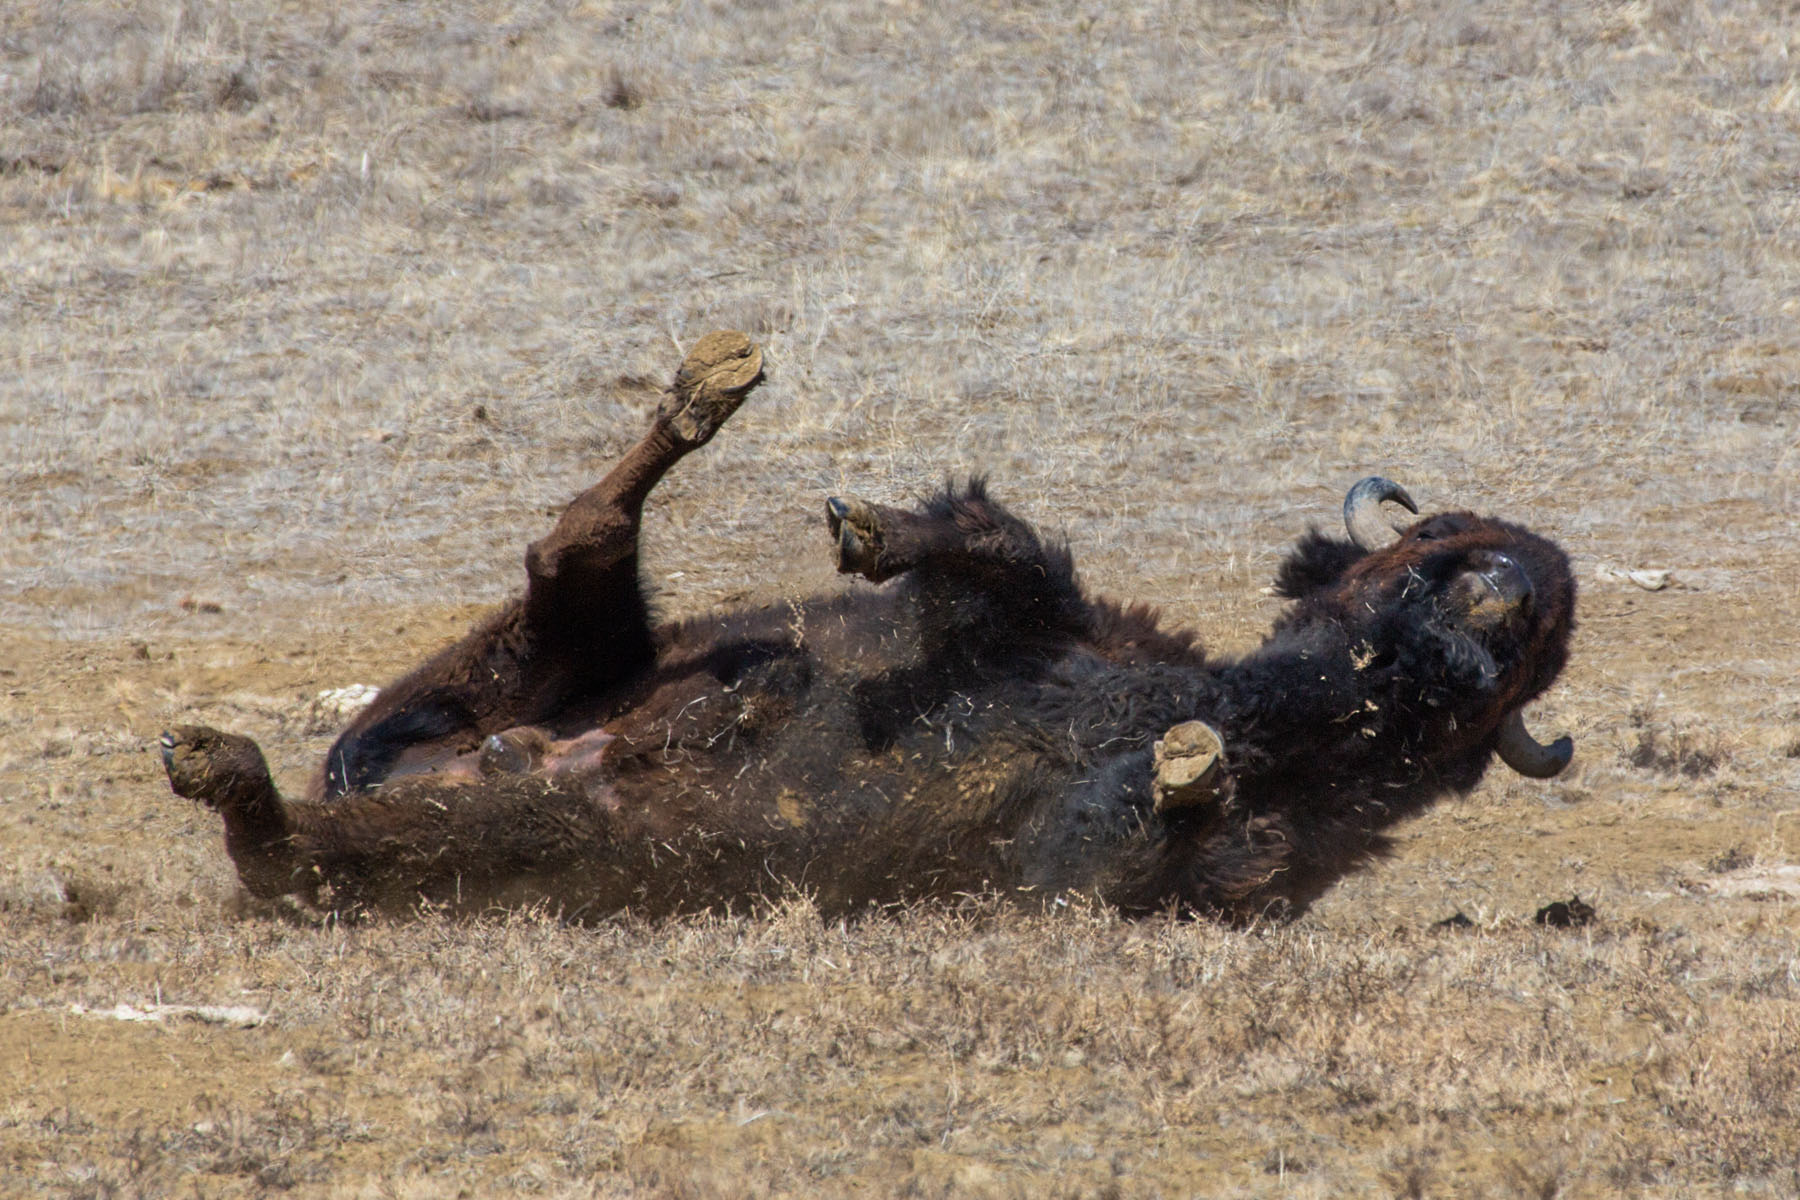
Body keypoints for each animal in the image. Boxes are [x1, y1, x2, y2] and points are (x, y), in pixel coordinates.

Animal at [161, 332, 1576, 923]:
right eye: (1438, 548)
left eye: (1525, 666)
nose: (1511, 594)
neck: (1269, 708)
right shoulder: (1040, 622)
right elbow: (998, 551)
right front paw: (873, 534)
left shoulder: (1169, 879)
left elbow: (1123, 848)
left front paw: (1187, 775)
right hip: (544, 660)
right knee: (577, 541)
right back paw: (712, 386)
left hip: (522, 834)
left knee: (290, 854)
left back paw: (222, 765)